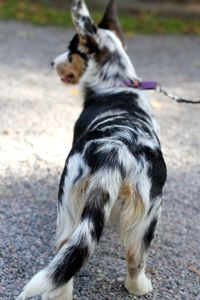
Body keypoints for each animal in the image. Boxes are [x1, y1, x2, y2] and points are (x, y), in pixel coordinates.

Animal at [17, 1, 167, 298]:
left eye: (72, 49)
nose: (52, 63)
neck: (116, 82)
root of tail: (116, 150)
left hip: (71, 204)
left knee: (66, 256)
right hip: (146, 217)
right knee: (133, 259)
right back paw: (141, 287)